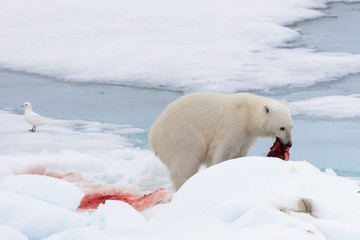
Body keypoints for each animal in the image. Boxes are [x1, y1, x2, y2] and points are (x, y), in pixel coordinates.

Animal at [149, 93, 292, 190]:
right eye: (282, 127)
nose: (289, 144)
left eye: (291, 127)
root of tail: (153, 135)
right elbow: (223, 151)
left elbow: (240, 152)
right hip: (181, 134)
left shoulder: (246, 137)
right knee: (187, 159)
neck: (248, 112)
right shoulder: (233, 125)